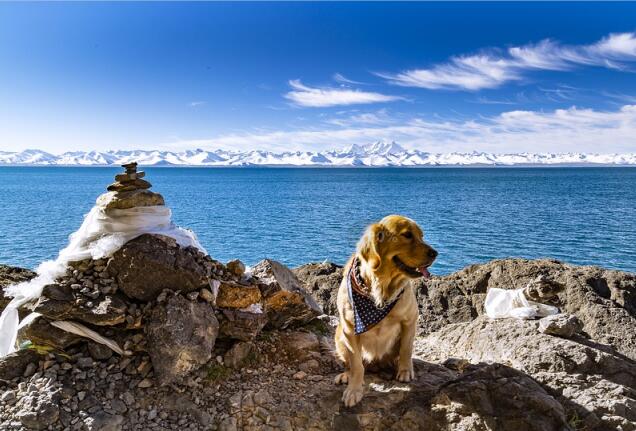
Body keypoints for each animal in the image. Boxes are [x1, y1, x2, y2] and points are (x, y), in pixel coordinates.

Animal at [332, 216, 438, 408]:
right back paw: (346, 375)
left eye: (422, 236)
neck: (381, 288)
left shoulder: (410, 319)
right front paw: (354, 390)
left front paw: (405, 371)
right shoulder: (350, 328)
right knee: (351, 363)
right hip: (339, 335)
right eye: (407, 235)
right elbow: (356, 364)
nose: (435, 253)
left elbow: (406, 349)